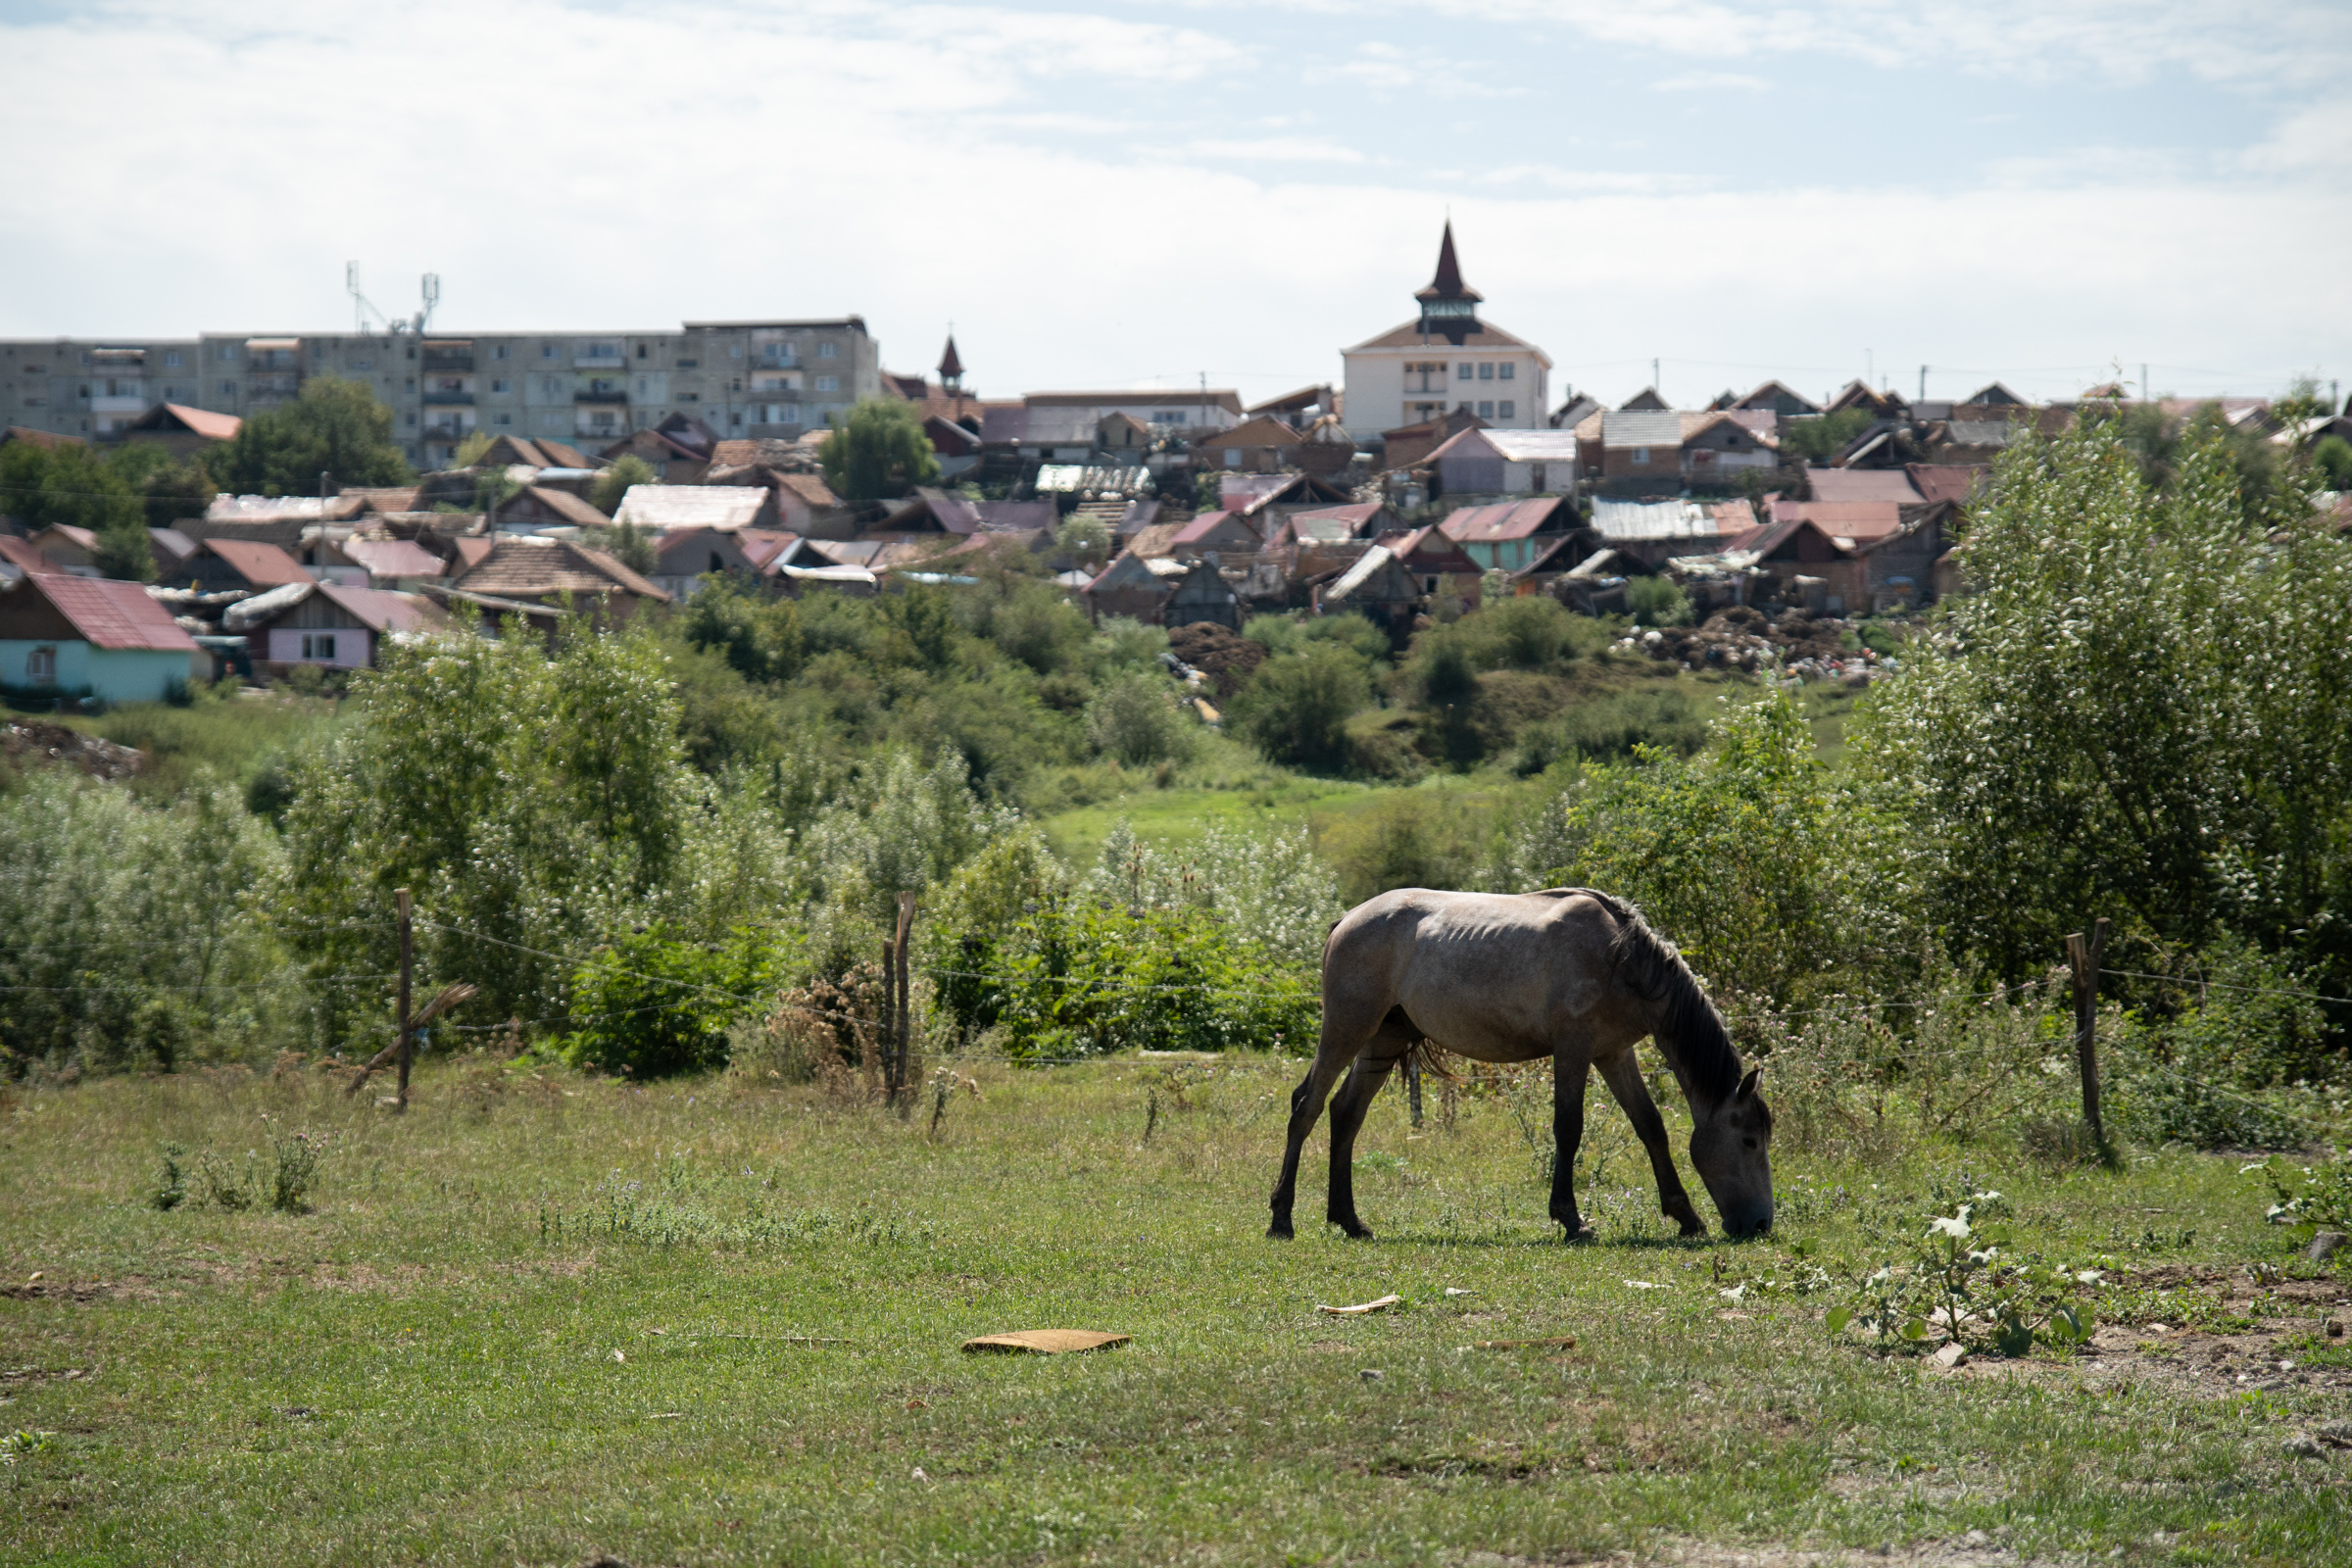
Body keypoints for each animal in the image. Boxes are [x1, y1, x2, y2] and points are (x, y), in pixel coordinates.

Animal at [1270, 893, 1768, 1241]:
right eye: (1749, 1140)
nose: (1760, 1224)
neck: (1619, 958)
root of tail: (1347, 920)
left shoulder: (1613, 1054)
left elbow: (1650, 1126)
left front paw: (1686, 1215)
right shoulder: (1574, 1050)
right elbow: (1569, 1128)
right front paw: (1572, 1220)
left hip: (1382, 1038)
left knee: (1346, 1113)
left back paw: (1349, 1221)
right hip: (1347, 1030)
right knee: (1306, 1106)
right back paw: (1281, 1218)